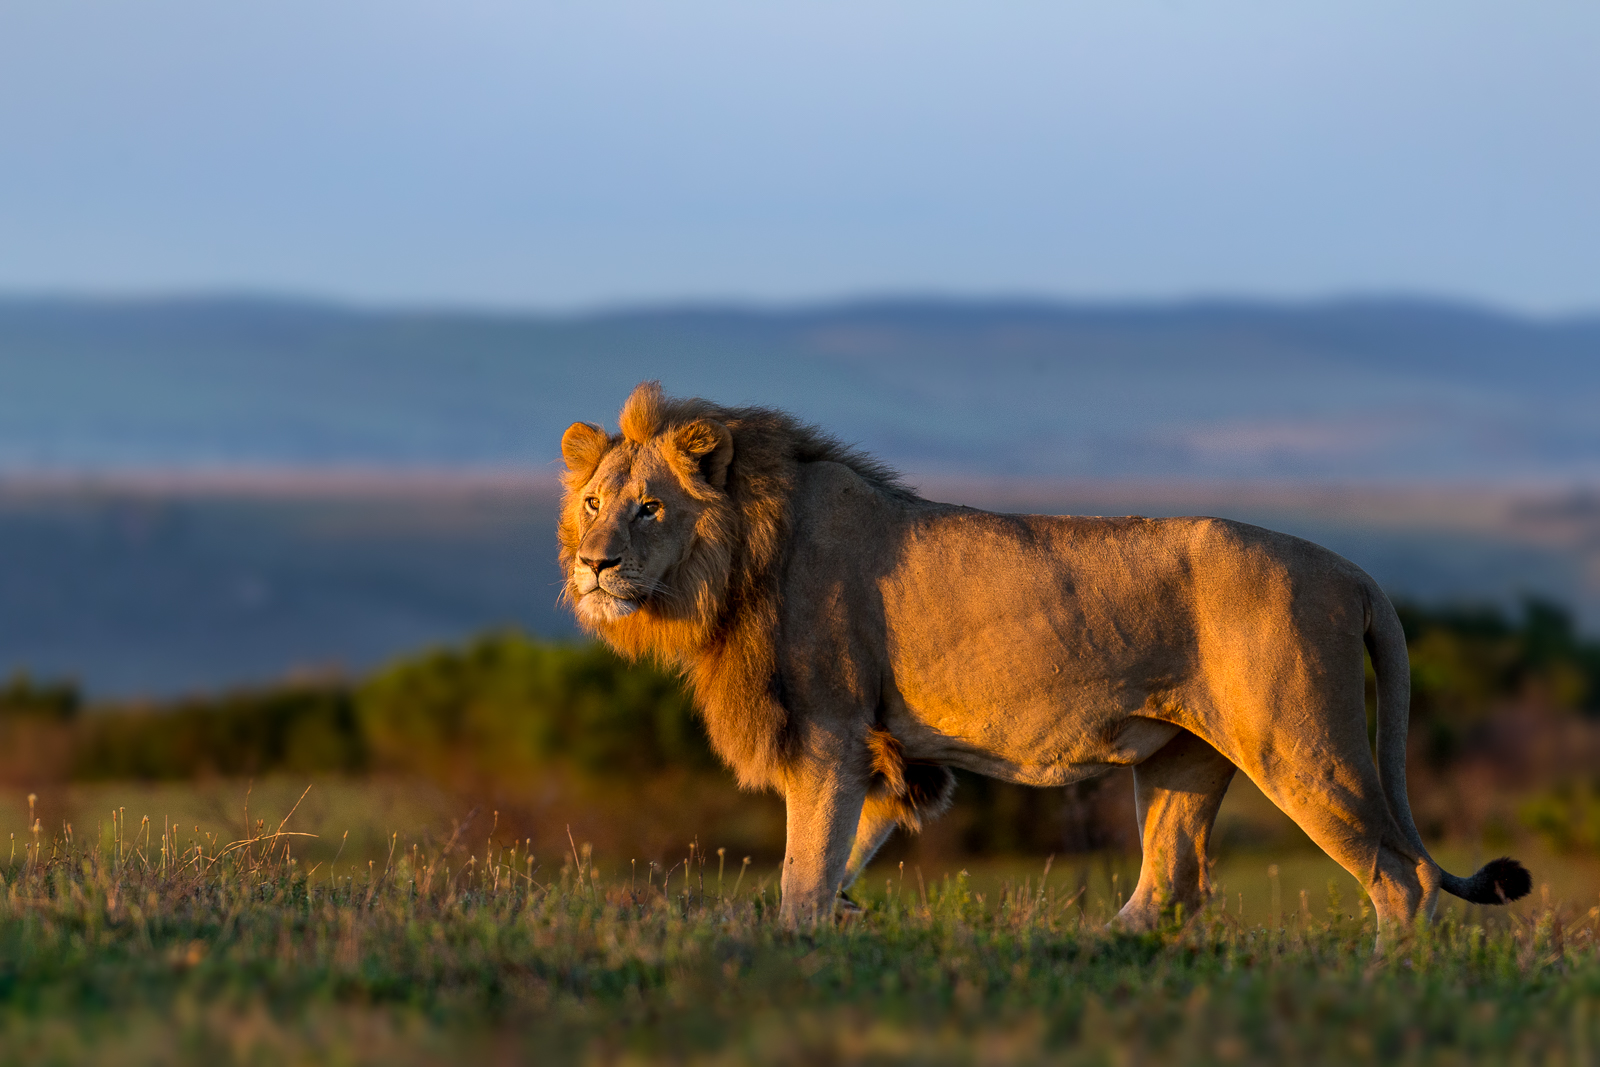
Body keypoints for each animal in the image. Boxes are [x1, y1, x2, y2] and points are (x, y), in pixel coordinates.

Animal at [556, 382, 1529, 927]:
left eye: (649, 507)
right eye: (595, 502)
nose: (593, 564)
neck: (735, 562)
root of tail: (1354, 571)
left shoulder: (829, 730)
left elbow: (802, 871)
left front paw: (801, 943)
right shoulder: (884, 752)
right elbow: (839, 861)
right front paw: (842, 917)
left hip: (1300, 743)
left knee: (1403, 877)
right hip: (1185, 757)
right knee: (1166, 889)